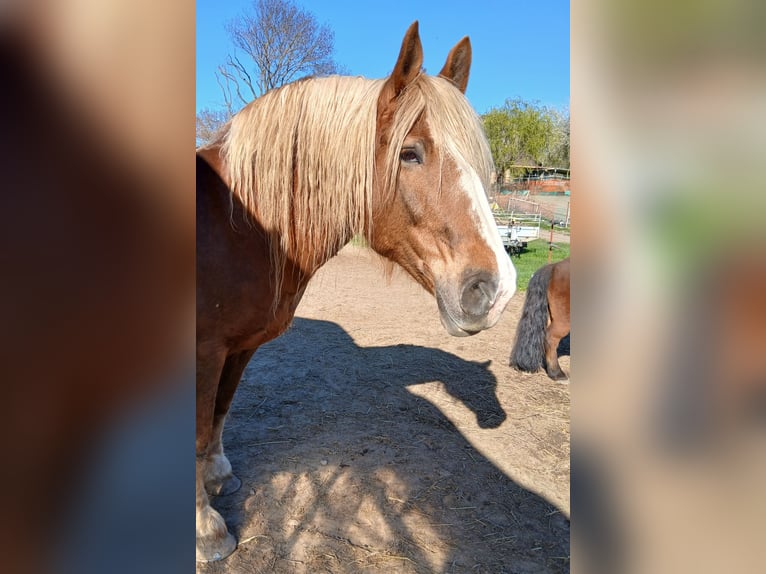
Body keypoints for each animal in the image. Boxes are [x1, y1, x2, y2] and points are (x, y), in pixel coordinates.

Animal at [196, 21, 517, 562]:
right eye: (410, 152)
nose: (494, 291)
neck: (237, 222)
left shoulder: (237, 347)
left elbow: (220, 410)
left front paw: (219, 478)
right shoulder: (205, 351)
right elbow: (199, 429)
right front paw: (206, 528)